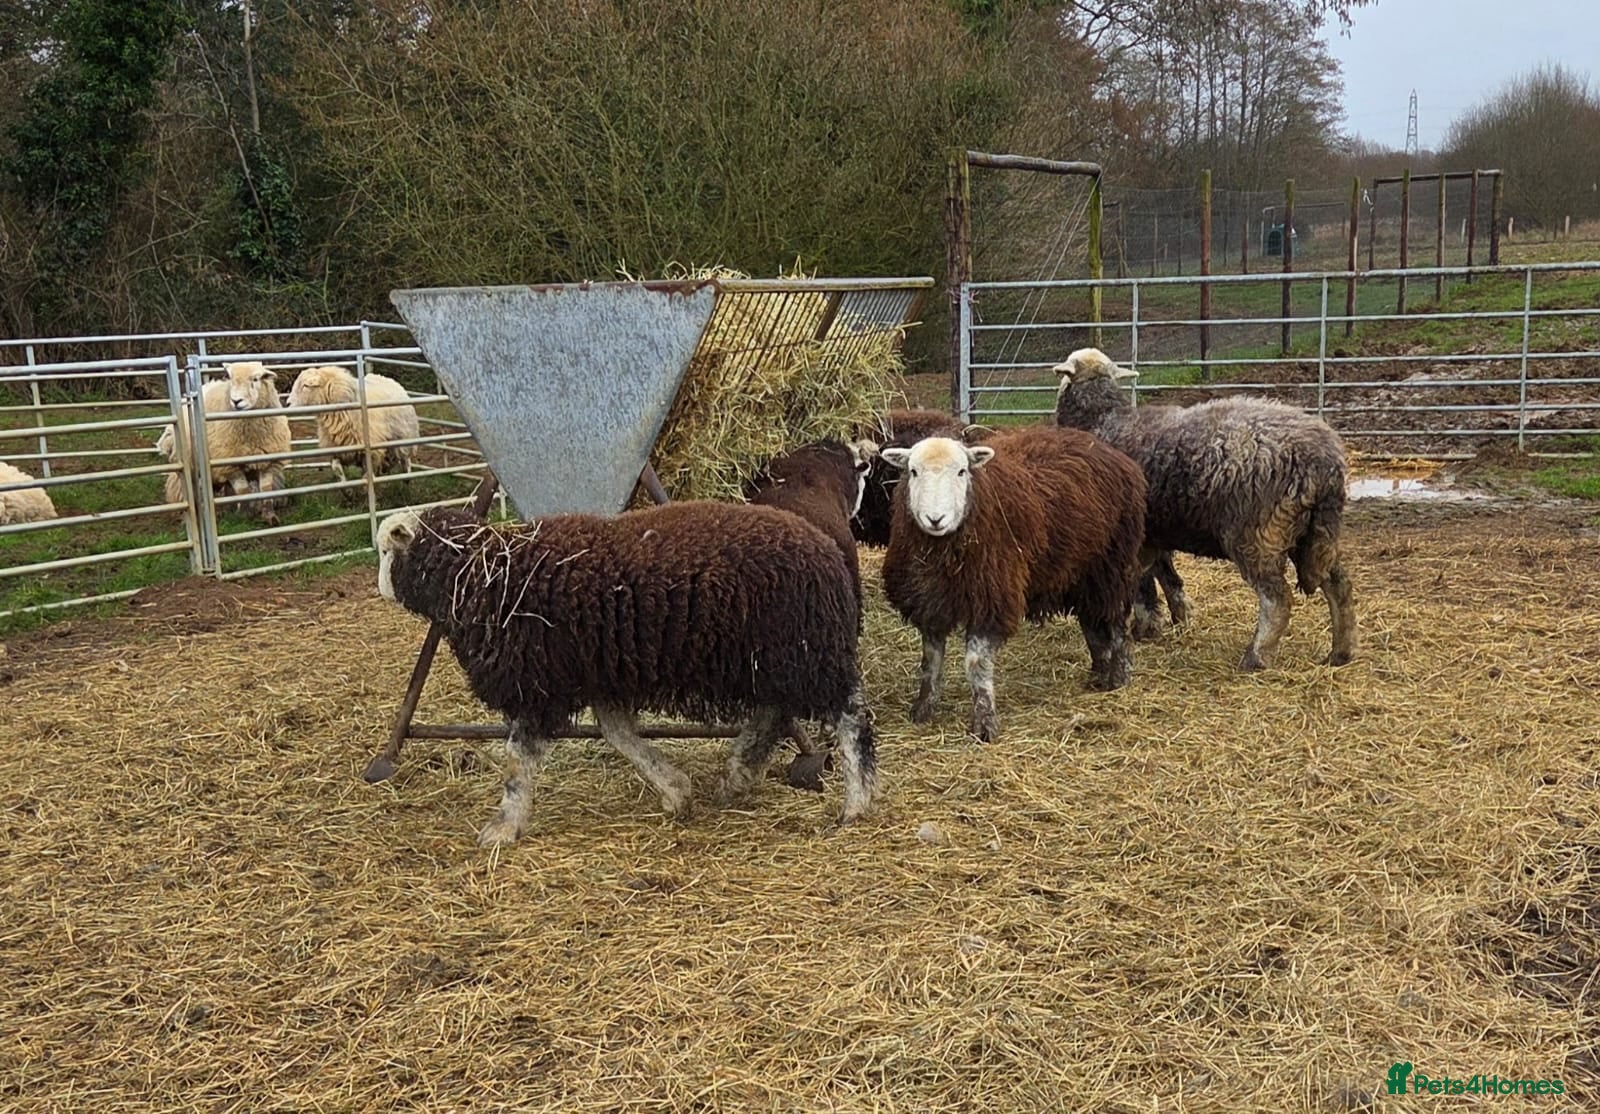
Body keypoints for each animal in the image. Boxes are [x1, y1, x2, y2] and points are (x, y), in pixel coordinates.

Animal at [157, 361, 291, 524]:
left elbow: (266, 490)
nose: (236, 401)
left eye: (256, 379)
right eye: (230, 377)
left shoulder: (268, 460)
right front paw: (245, 516)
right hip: (190, 464)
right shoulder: (229, 464)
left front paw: (270, 516)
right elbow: (243, 490)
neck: (251, 436)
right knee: (188, 490)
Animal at [286, 364, 419, 485]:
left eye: (306, 385)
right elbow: (337, 469)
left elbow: (368, 473)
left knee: (405, 460)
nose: (287, 403)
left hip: (403, 436)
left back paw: (406, 480)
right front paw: (346, 490)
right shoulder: (336, 449)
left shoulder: (371, 450)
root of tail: (387, 378)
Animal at [376, 501, 878, 845]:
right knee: (774, 712)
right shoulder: (597, 674)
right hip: (777, 658)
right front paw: (675, 790)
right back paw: (738, 773)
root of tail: (828, 551)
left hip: (807, 653)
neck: (483, 573)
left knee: (850, 722)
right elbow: (619, 735)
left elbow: (518, 761)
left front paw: (504, 826)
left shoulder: (539, 685)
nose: (380, 589)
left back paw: (856, 803)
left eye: (384, 550)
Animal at [879, 425, 1147, 743]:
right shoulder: (931, 601)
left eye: (962, 471)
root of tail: (1110, 451)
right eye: (913, 471)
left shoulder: (992, 598)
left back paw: (1119, 676)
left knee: (1117, 623)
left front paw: (984, 723)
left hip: (1112, 566)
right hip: (1080, 573)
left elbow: (976, 665)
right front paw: (923, 708)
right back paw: (1098, 674)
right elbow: (930, 661)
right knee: (1091, 623)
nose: (935, 519)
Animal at [1053, 347, 1356, 671]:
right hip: (1311, 533)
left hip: (1258, 533)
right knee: (1339, 585)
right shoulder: (1155, 533)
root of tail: (1325, 461)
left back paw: (1256, 657)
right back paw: (1341, 652)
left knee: (1278, 598)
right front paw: (1178, 618)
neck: (1103, 420)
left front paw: (1147, 627)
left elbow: (1143, 585)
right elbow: (1166, 577)